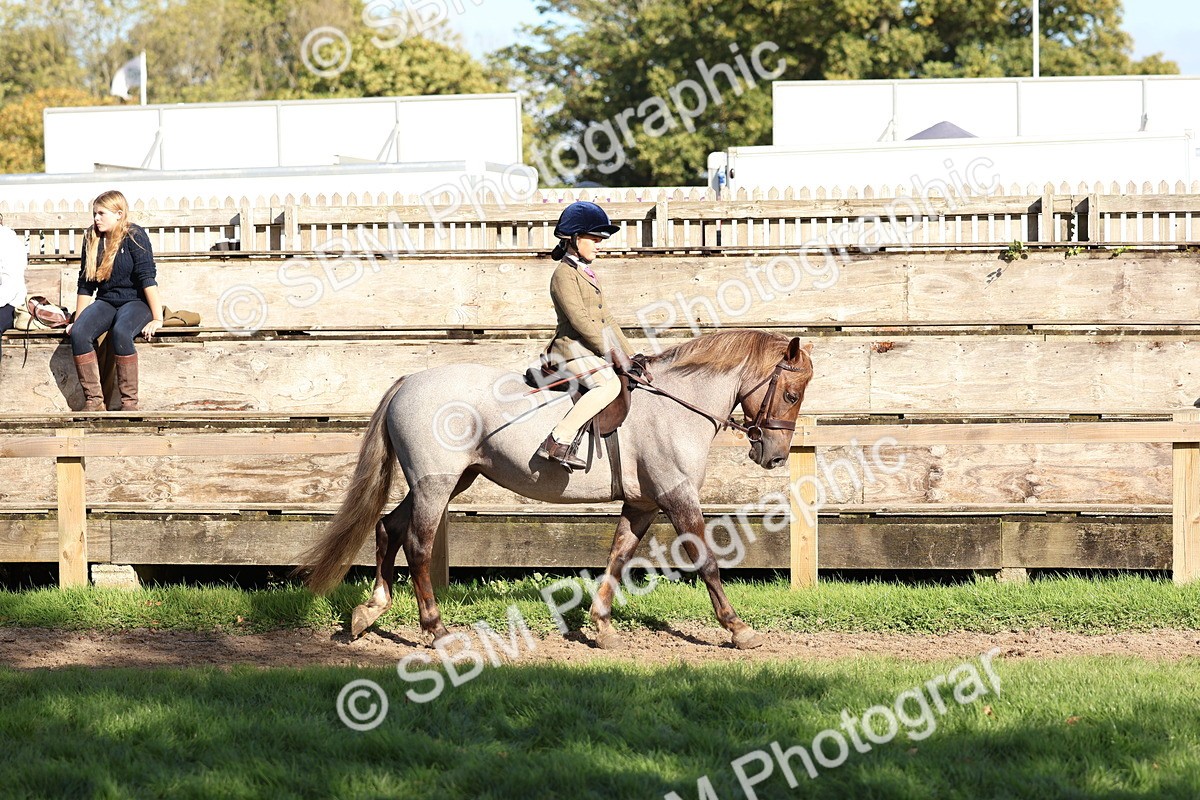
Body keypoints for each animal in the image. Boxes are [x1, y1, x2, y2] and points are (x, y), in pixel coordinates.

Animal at [298, 329, 814, 650]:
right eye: (791, 394)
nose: (774, 456)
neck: (676, 406)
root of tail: (410, 381)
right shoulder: (677, 495)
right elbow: (706, 560)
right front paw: (738, 629)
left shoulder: (643, 504)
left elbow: (618, 557)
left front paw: (602, 627)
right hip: (435, 483)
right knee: (417, 545)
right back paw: (437, 630)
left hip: (452, 480)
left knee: (388, 527)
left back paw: (370, 611)